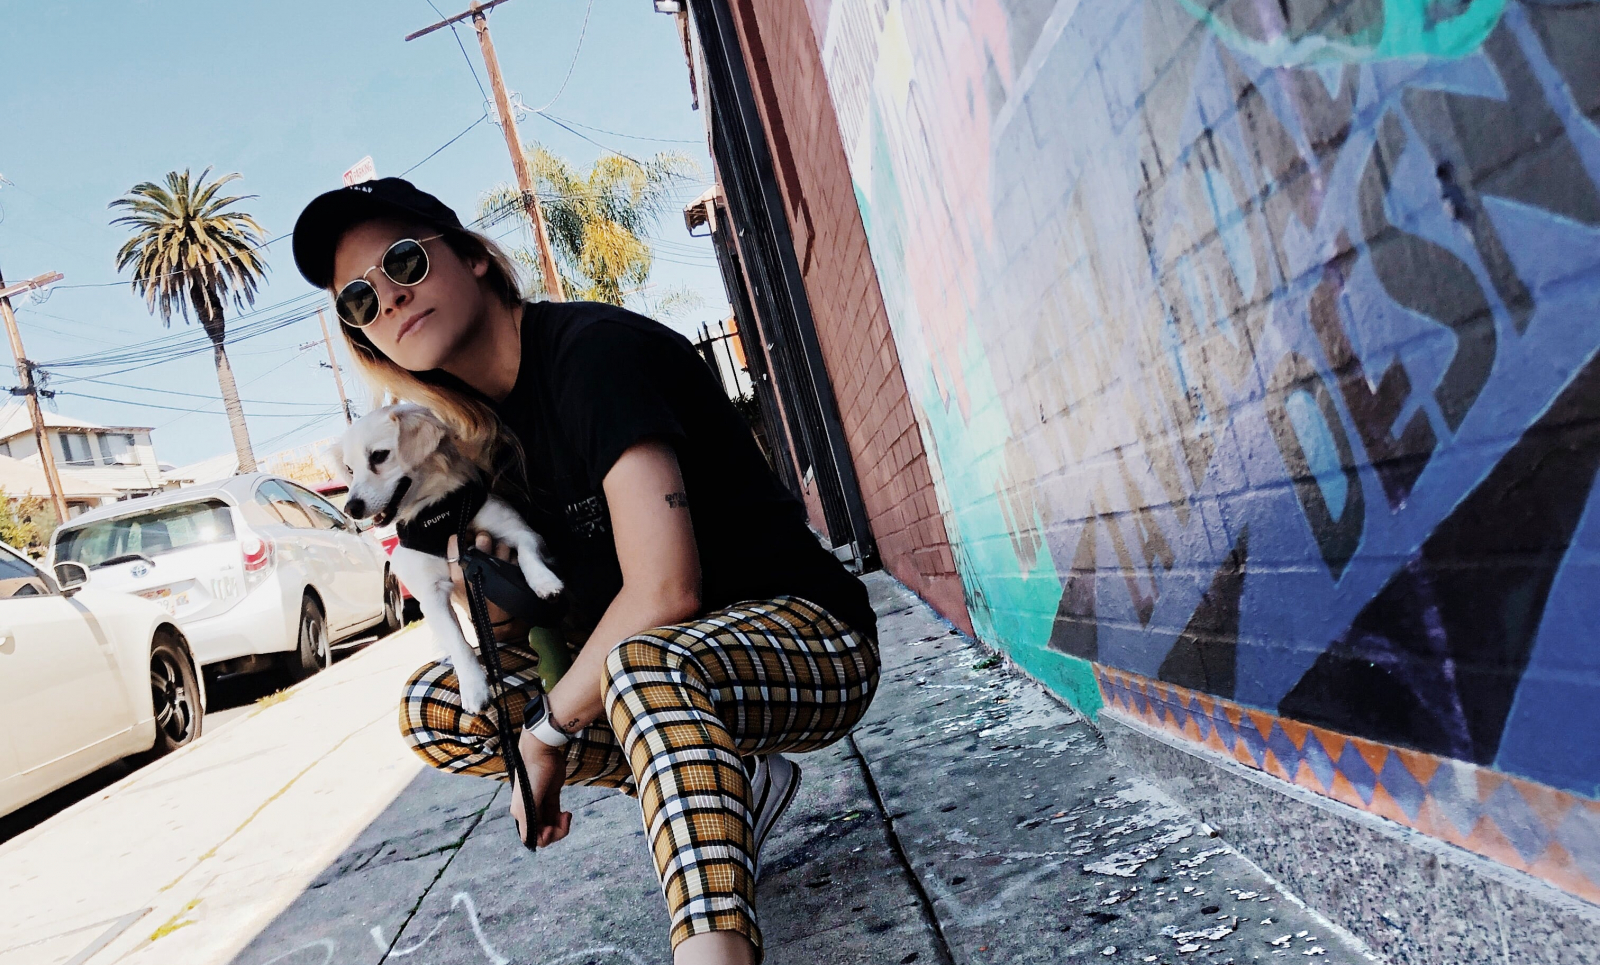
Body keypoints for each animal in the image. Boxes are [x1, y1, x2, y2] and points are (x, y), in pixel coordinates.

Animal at [334, 403, 566, 713]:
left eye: (379, 456)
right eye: (349, 469)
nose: (351, 508)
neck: (440, 515)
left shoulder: (521, 532)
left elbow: (529, 555)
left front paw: (544, 582)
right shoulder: (431, 594)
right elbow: (458, 643)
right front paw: (474, 687)